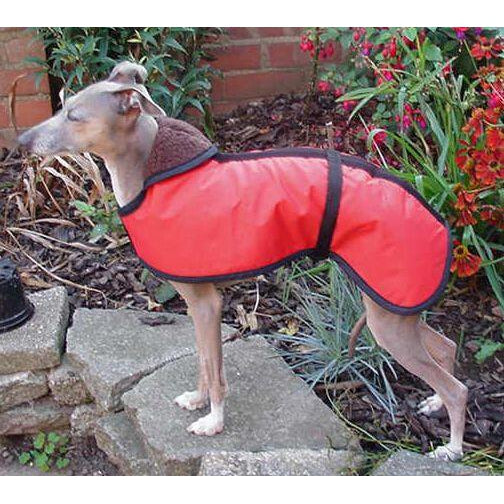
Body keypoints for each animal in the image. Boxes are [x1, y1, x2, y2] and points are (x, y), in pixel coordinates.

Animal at [17, 61, 468, 461]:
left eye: (74, 116)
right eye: (61, 105)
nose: (21, 141)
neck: (151, 170)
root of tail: (440, 222)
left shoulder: (206, 304)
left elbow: (215, 369)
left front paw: (213, 422)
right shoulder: (196, 303)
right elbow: (202, 360)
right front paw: (197, 399)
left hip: (387, 317)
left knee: (458, 388)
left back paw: (453, 447)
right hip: (395, 308)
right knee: (446, 349)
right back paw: (433, 403)